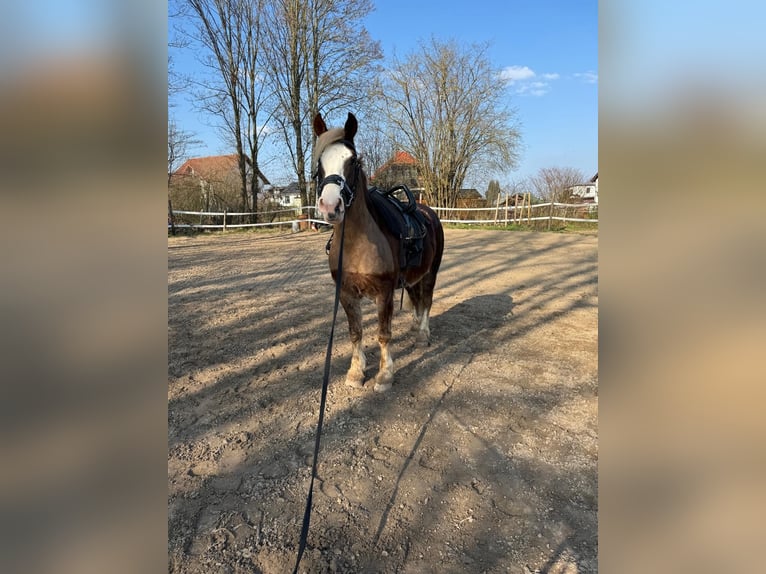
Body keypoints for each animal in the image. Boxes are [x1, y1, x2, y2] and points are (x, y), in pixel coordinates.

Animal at [312, 111, 444, 392]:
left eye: (352, 161)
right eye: (320, 162)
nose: (330, 207)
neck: (355, 244)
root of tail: (429, 213)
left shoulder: (384, 294)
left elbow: (383, 334)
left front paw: (384, 375)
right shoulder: (347, 294)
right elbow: (356, 333)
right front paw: (355, 372)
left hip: (431, 273)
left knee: (427, 301)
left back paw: (422, 336)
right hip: (411, 279)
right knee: (417, 300)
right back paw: (415, 329)